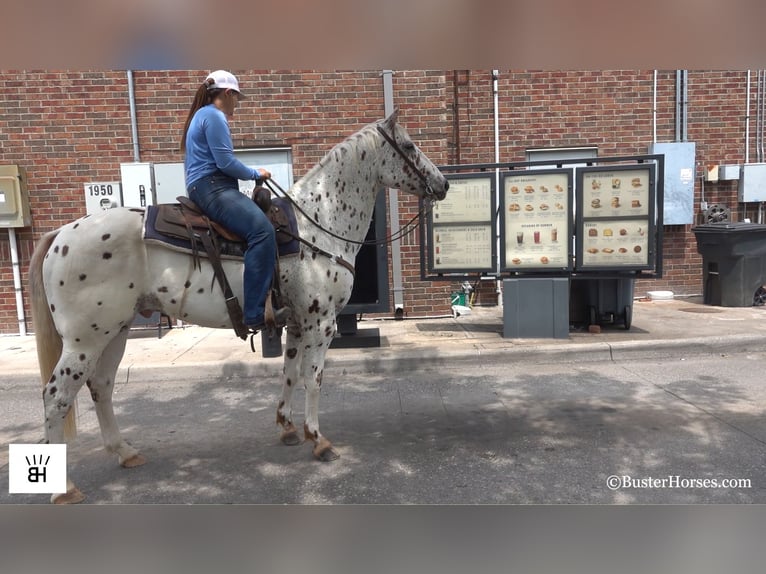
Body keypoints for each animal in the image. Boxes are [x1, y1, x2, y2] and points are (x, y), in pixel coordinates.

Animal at [28, 109, 450, 504]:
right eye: (409, 146)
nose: (443, 184)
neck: (318, 224)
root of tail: (61, 234)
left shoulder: (297, 324)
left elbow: (289, 373)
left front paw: (287, 427)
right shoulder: (321, 323)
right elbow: (313, 377)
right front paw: (318, 439)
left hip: (116, 331)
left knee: (101, 386)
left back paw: (125, 451)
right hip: (85, 341)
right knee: (56, 396)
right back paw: (64, 487)